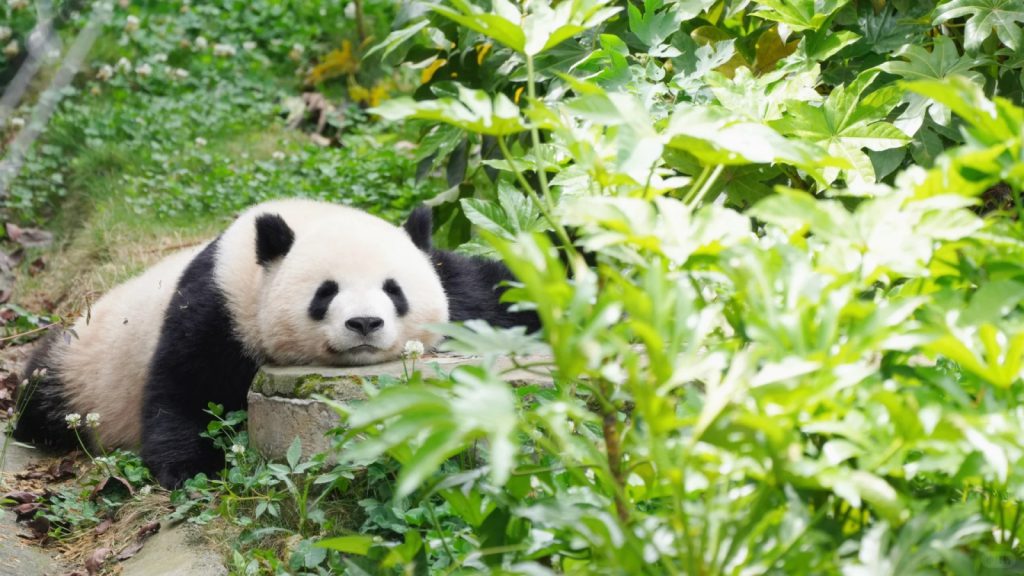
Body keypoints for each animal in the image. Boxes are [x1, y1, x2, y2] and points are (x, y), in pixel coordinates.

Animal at [13, 199, 539, 488]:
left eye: (395, 290)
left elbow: (497, 291)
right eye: (325, 293)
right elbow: (185, 384)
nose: (365, 323)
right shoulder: (219, 305)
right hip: (83, 361)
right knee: (42, 391)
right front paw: (192, 469)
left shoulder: (451, 279)